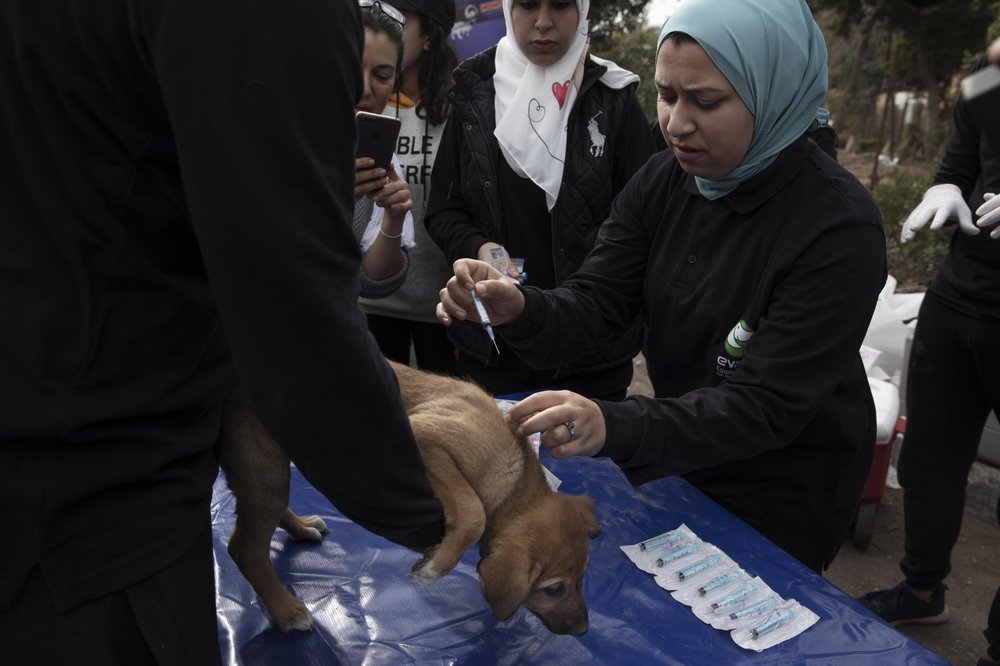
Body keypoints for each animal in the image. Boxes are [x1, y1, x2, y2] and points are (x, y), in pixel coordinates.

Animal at [219, 360, 596, 636]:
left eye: (583, 577)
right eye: (553, 589)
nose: (583, 630)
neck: (514, 478)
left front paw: (434, 554)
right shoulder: (424, 435)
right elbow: (474, 512)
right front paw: (436, 567)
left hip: (271, 467)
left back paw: (301, 527)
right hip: (264, 465)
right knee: (244, 548)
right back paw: (286, 610)